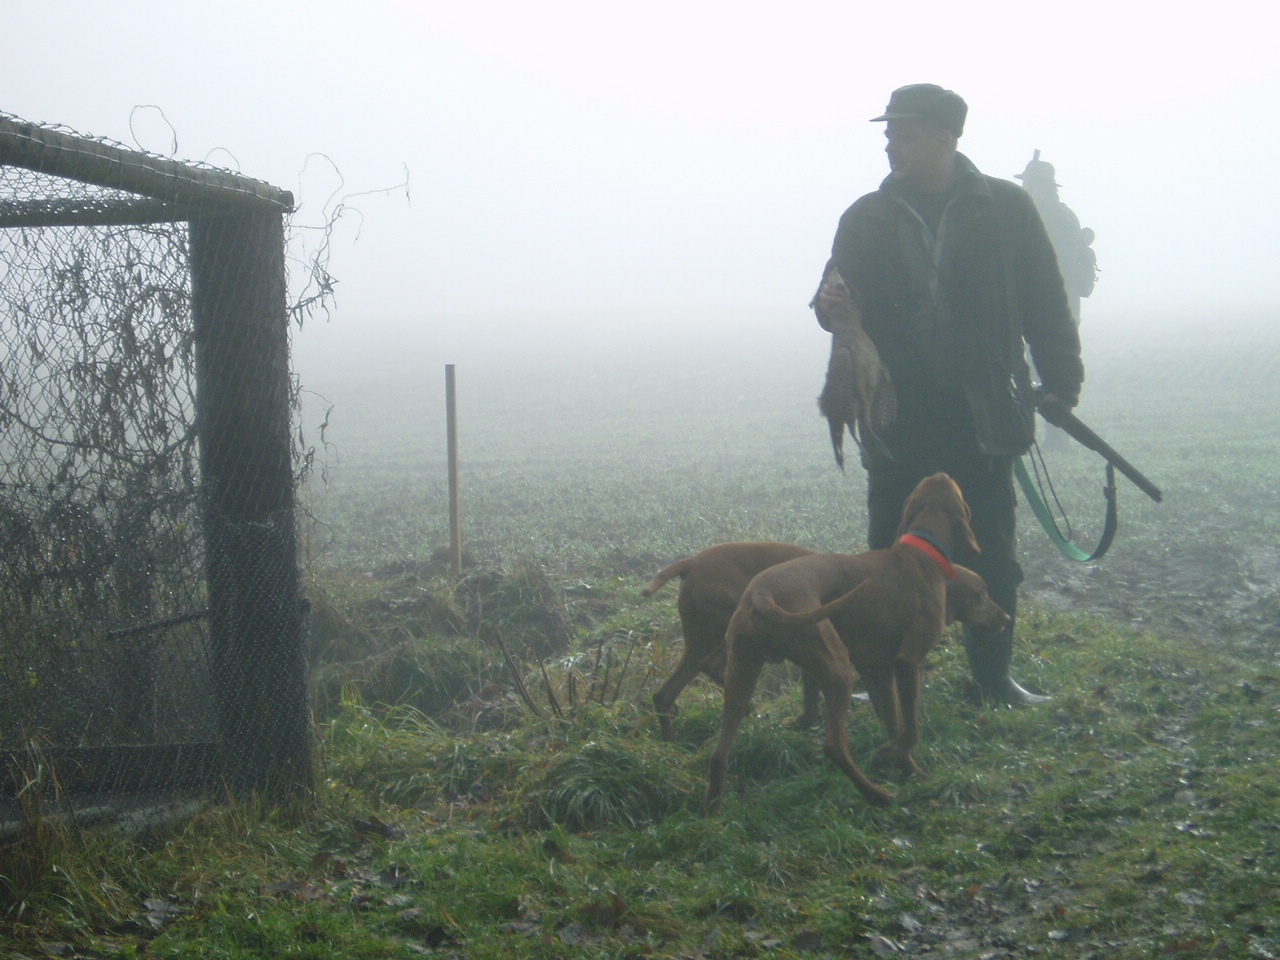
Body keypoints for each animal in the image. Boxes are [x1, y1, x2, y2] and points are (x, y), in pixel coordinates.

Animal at [701, 473, 998, 814]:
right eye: (982, 593)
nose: (1004, 618)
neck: (924, 552)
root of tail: (762, 593)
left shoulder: (877, 672)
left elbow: (895, 724)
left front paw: (909, 769)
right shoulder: (907, 662)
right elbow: (910, 729)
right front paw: (887, 756)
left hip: (742, 674)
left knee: (720, 749)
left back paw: (713, 804)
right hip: (837, 669)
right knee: (833, 746)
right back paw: (876, 794)